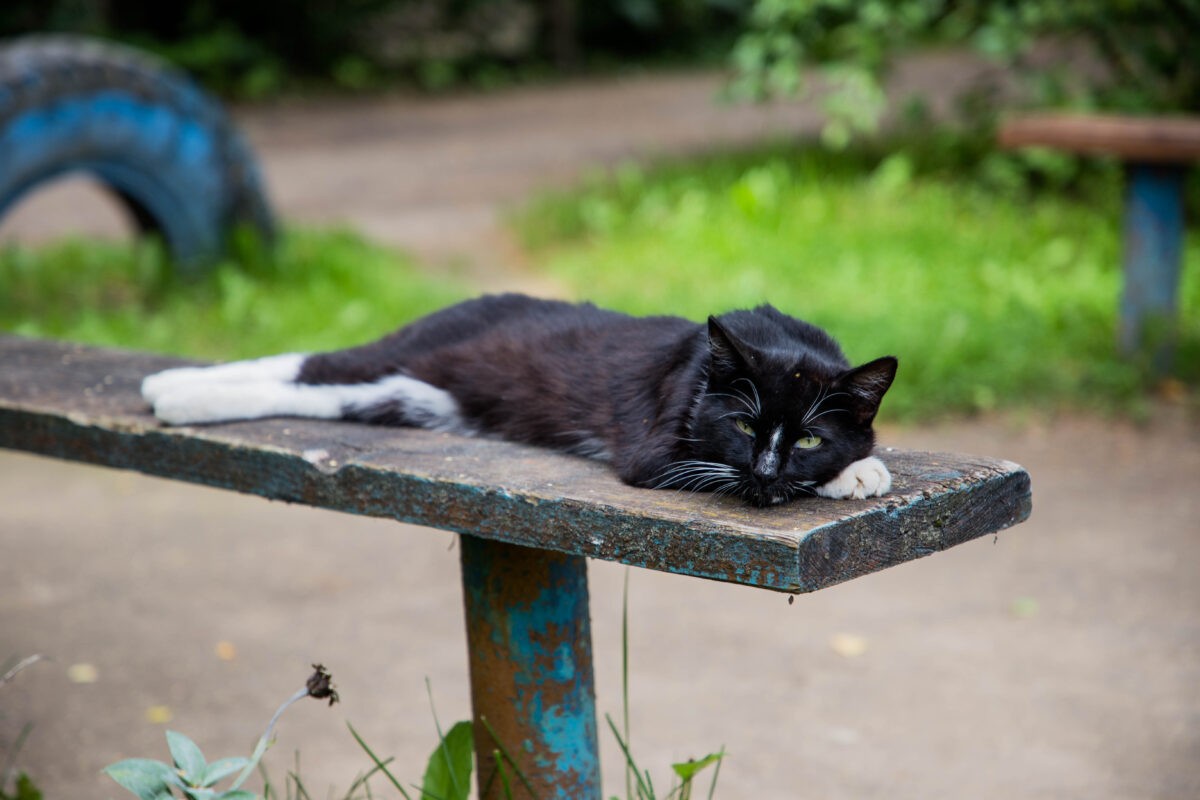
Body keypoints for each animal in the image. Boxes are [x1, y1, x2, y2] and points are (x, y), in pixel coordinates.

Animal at [140, 293, 897, 506]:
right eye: (743, 424)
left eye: (808, 436)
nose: (767, 472)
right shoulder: (656, 443)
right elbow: (698, 466)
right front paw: (857, 473)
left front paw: (856, 463)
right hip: (418, 354)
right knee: (320, 363)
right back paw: (172, 396)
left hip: (413, 396)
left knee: (315, 382)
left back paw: (168, 388)